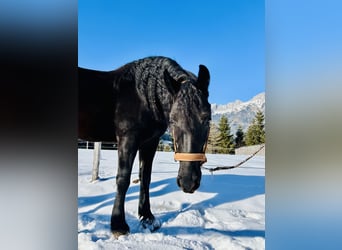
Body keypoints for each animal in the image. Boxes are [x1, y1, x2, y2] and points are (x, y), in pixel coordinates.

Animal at [79, 55, 211, 235]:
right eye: (173, 120)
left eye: (207, 119)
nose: (188, 182)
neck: (142, 97)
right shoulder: (128, 139)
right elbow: (123, 179)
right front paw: (118, 225)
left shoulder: (150, 142)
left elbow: (145, 178)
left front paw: (147, 217)